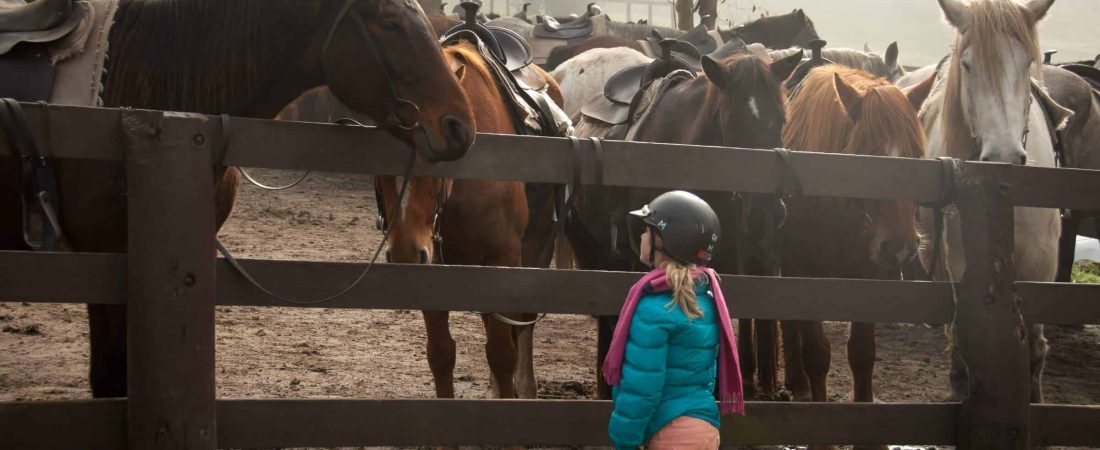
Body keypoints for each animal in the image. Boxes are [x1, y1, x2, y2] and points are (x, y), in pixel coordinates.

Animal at [902, 0, 1073, 400]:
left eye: (1027, 62)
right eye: (968, 65)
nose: (1003, 156)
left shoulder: (1041, 262)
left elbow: (1035, 348)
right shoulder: (962, 263)